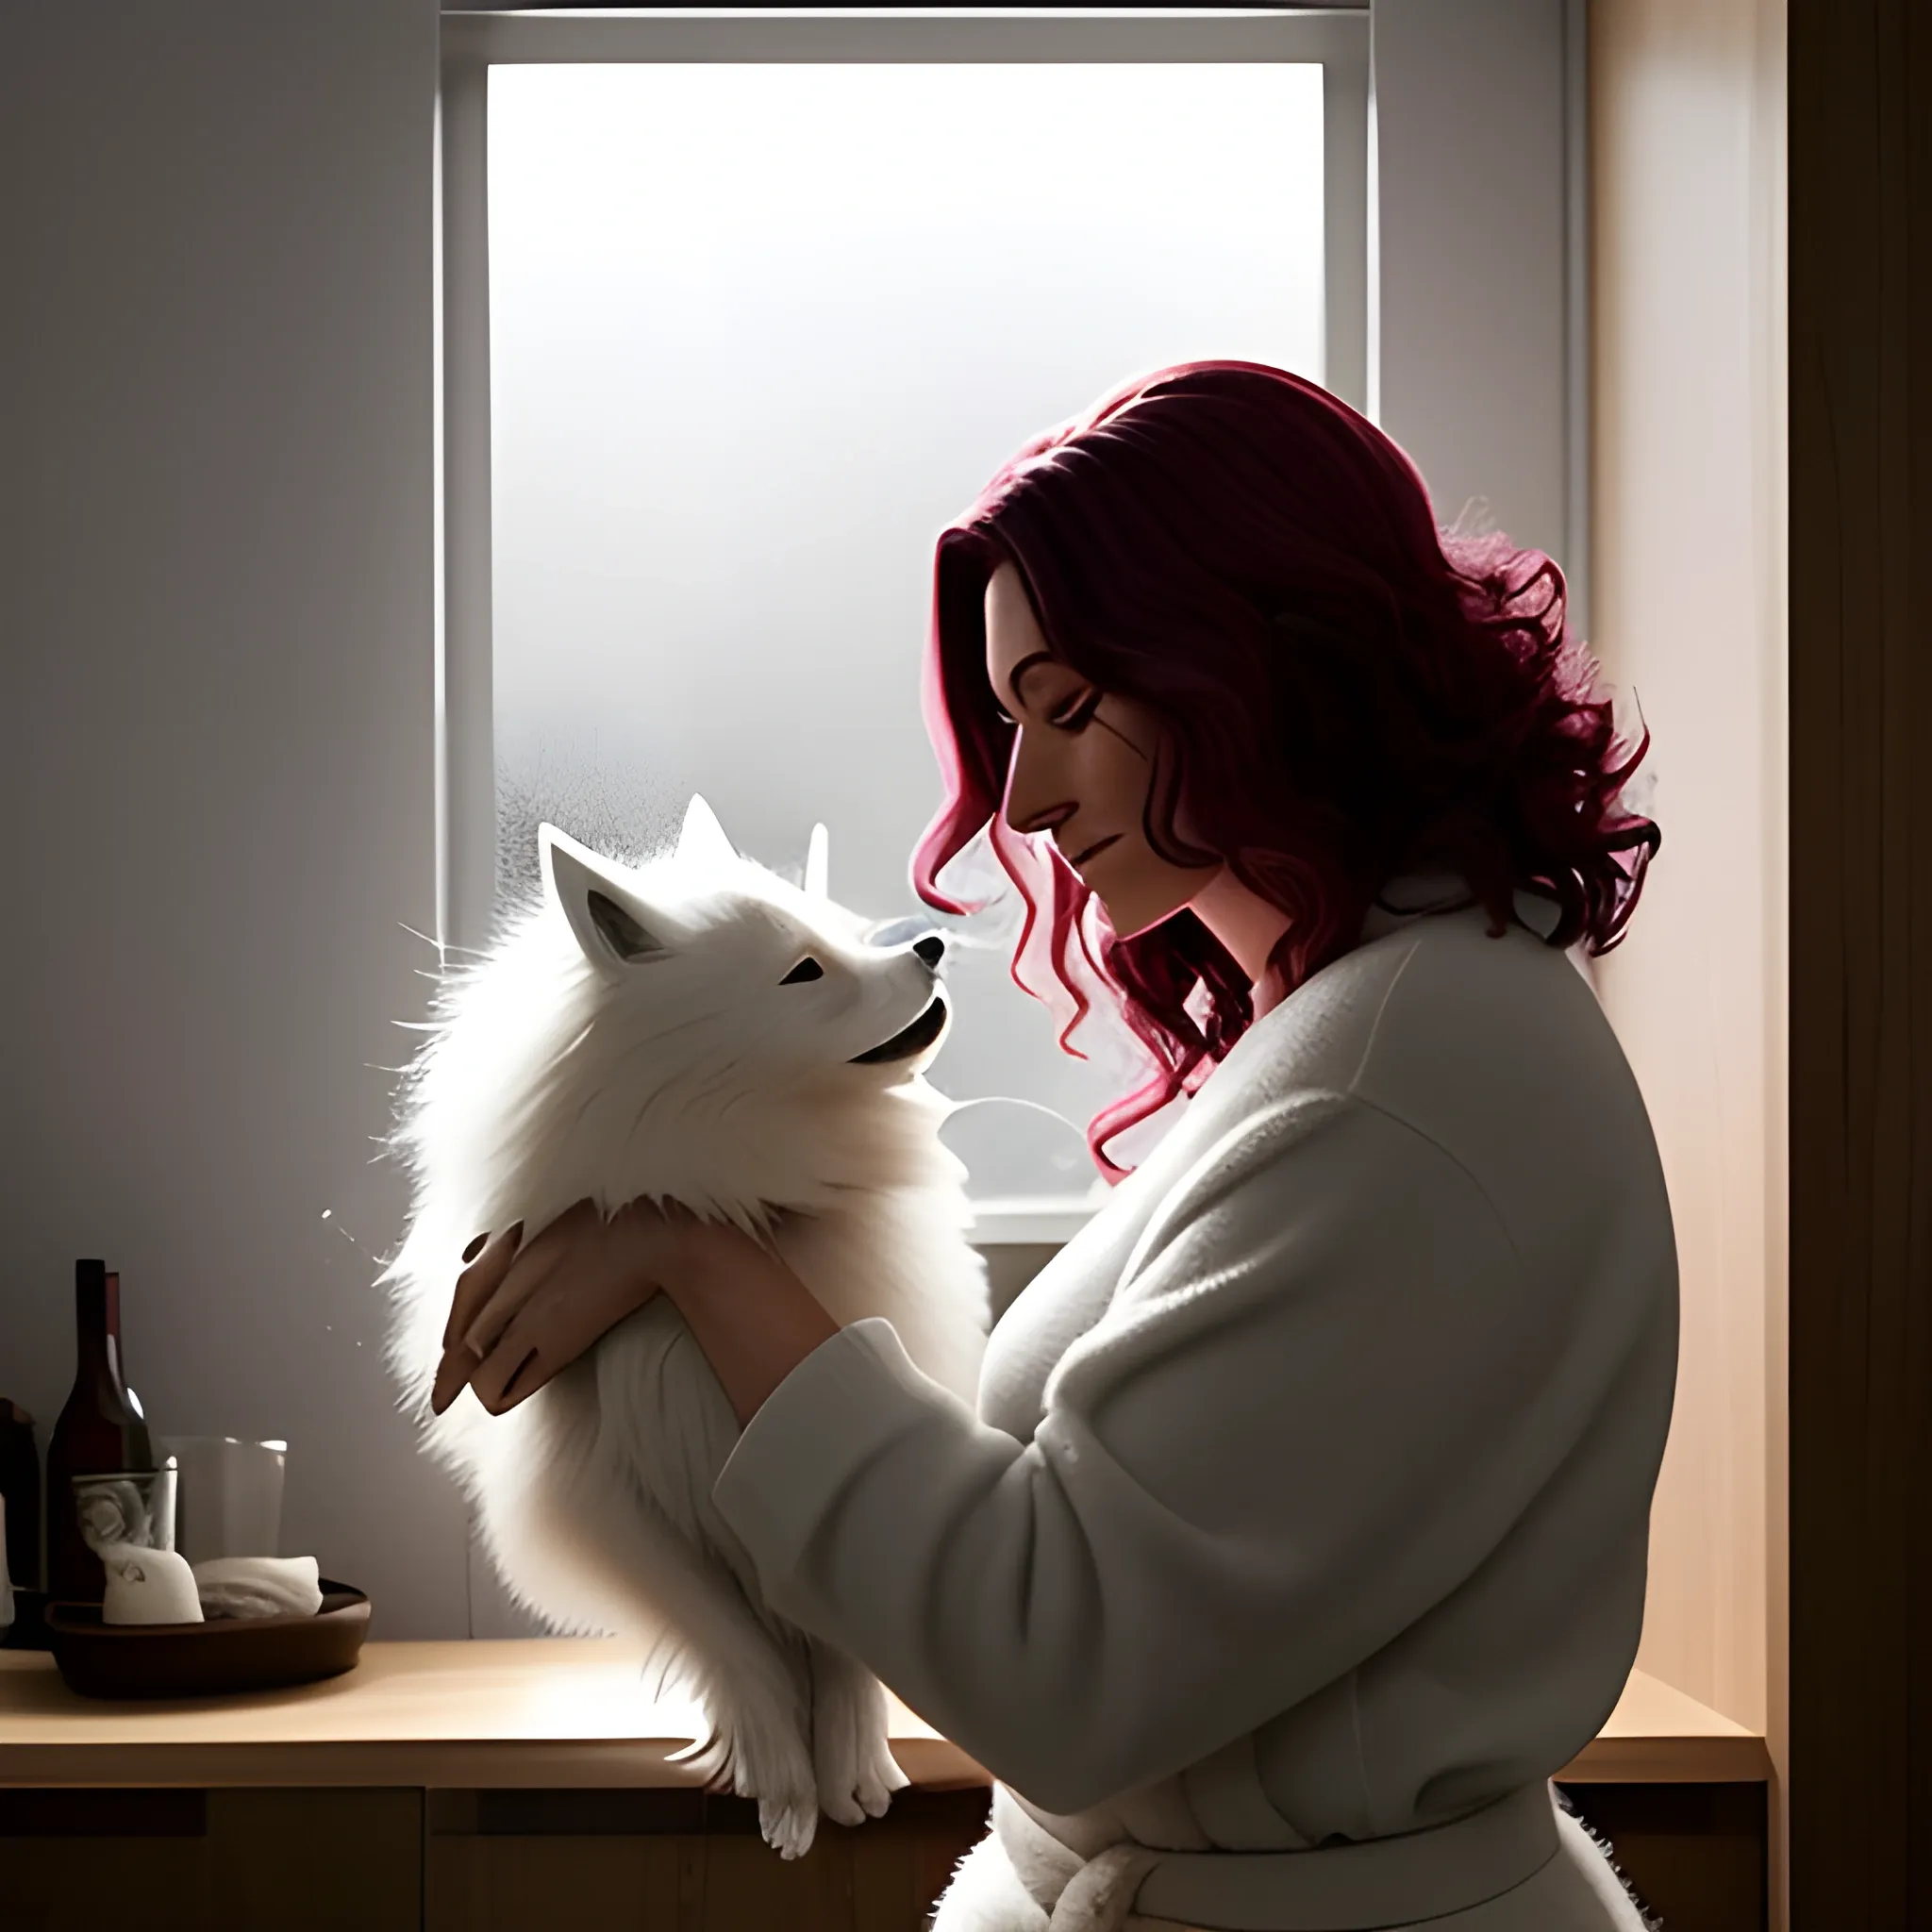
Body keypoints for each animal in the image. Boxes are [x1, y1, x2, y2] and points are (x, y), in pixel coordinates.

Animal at [380, 795, 981, 1855]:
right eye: (804, 971)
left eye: (840, 932)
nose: (929, 943)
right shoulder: (610, 1504)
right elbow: (738, 1644)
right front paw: (783, 1784)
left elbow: (836, 1629)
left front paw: (849, 1764)